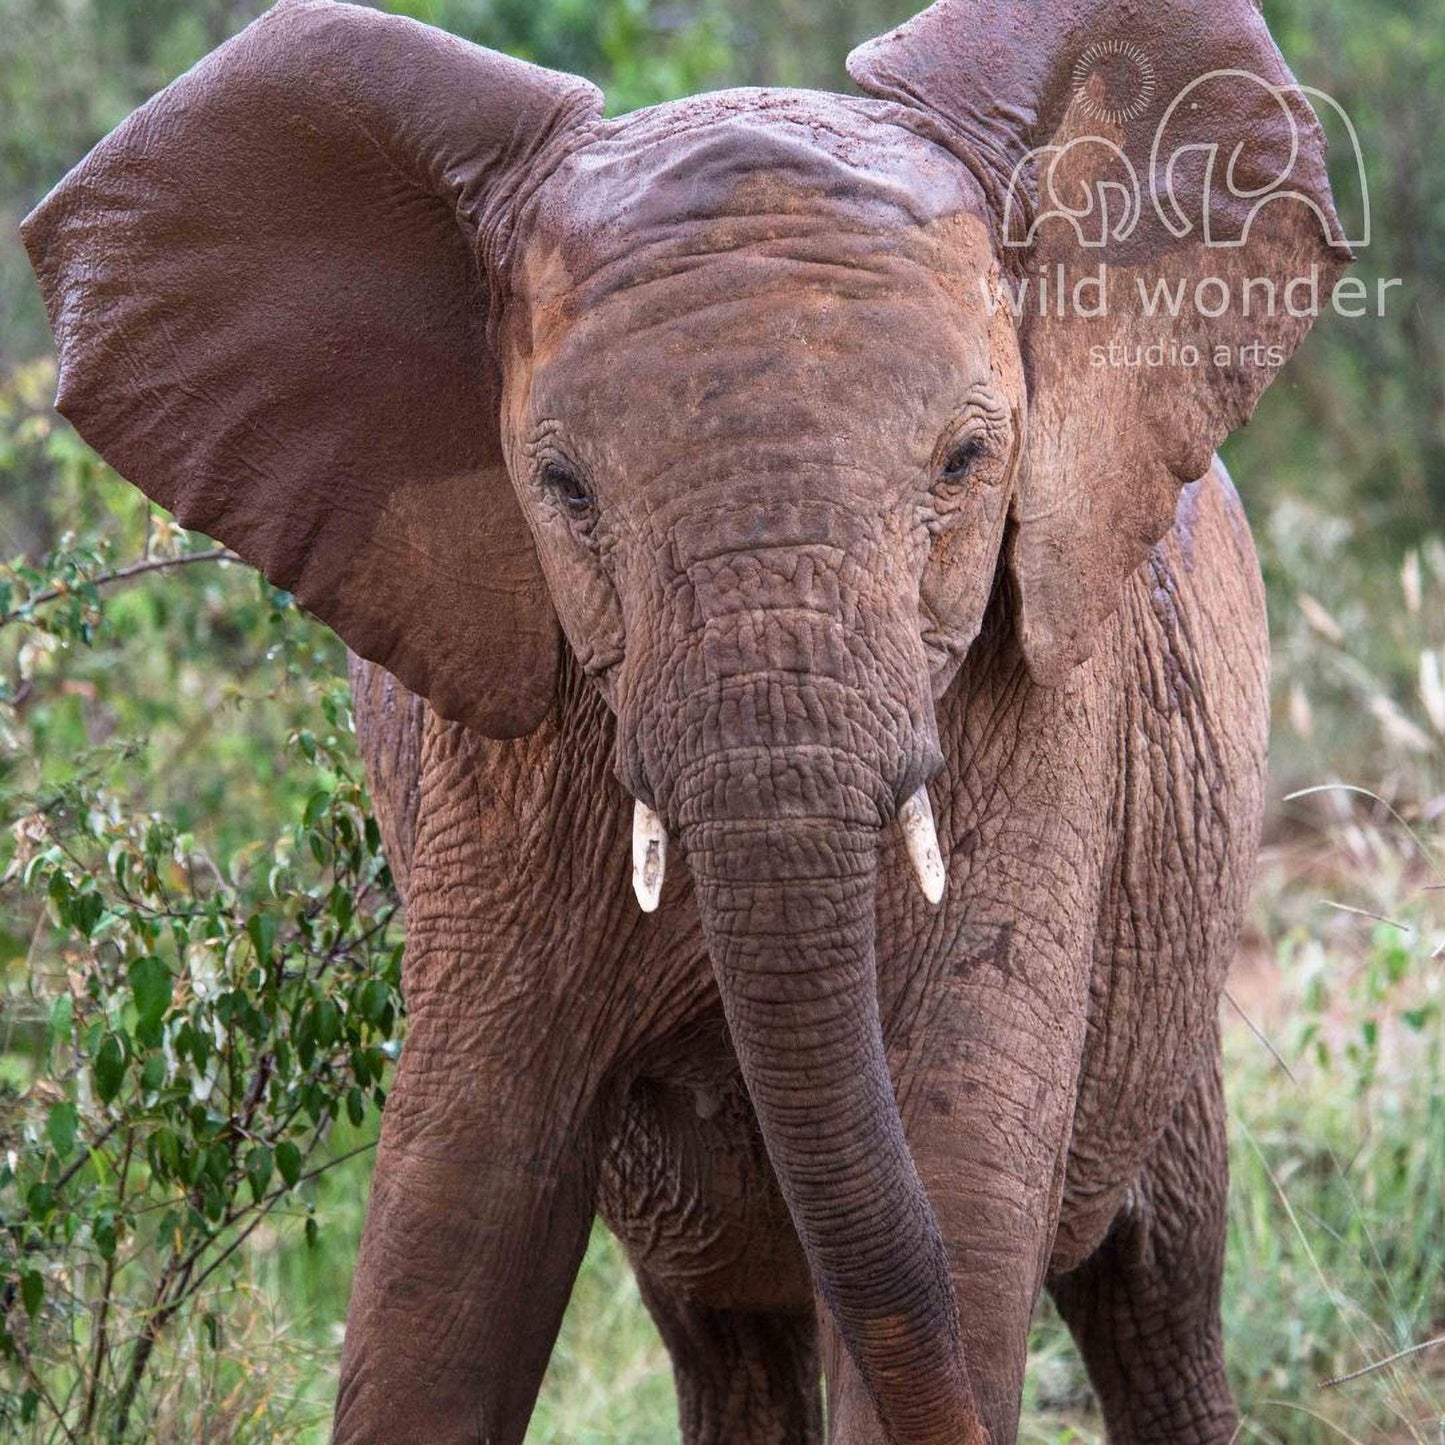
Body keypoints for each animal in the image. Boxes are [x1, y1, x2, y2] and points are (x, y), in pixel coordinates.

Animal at [21, 0, 1349, 1441]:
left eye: (964, 463)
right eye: (561, 487)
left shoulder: (1045, 709)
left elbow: (957, 1186)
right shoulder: (499, 778)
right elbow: (450, 1231)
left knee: (1154, 1290)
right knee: (730, 1332)